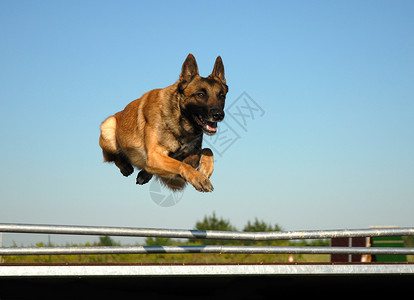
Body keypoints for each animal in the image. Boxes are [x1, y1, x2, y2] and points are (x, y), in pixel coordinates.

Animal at [99, 54, 228, 192]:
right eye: (200, 95)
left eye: (221, 96)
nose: (219, 115)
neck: (179, 122)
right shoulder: (154, 156)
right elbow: (181, 165)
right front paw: (199, 178)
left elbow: (207, 150)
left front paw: (204, 171)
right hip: (108, 126)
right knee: (112, 156)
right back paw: (125, 166)